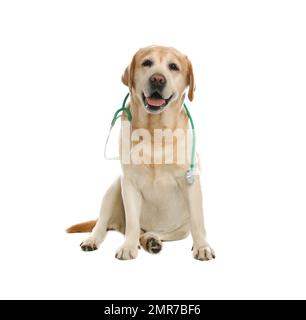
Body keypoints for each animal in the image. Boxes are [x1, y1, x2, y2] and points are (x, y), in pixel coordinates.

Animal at [67, 45, 215, 260]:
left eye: (173, 66)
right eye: (147, 63)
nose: (157, 79)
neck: (154, 131)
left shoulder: (191, 181)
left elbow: (198, 221)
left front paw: (202, 246)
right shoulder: (129, 182)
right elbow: (132, 222)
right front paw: (128, 247)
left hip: (179, 230)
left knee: (153, 233)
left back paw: (151, 240)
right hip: (114, 188)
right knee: (104, 224)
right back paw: (94, 240)